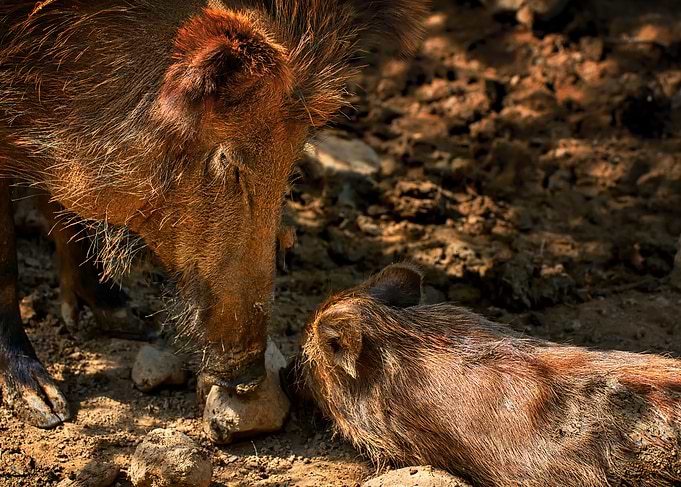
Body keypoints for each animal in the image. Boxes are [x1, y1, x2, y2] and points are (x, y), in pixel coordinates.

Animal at [0, 0, 430, 429]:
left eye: (292, 159)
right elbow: (7, 266)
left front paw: (135, 324)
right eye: (228, 162)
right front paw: (49, 408)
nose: (250, 377)